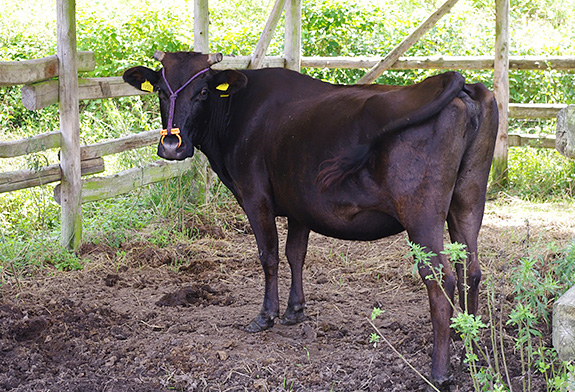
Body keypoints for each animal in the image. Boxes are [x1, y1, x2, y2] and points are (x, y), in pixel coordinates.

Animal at [124, 49, 498, 388]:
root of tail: (463, 86)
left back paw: (440, 372)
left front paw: (266, 316)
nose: (171, 146)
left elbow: (269, 255)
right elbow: (296, 254)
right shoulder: (300, 204)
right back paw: (469, 344)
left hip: (421, 213)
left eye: (202, 91)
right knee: (470, 270)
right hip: (467, 201)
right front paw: (295, 310)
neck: (240, 112)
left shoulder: (255, 195)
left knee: (440, 278)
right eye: (161, 91)